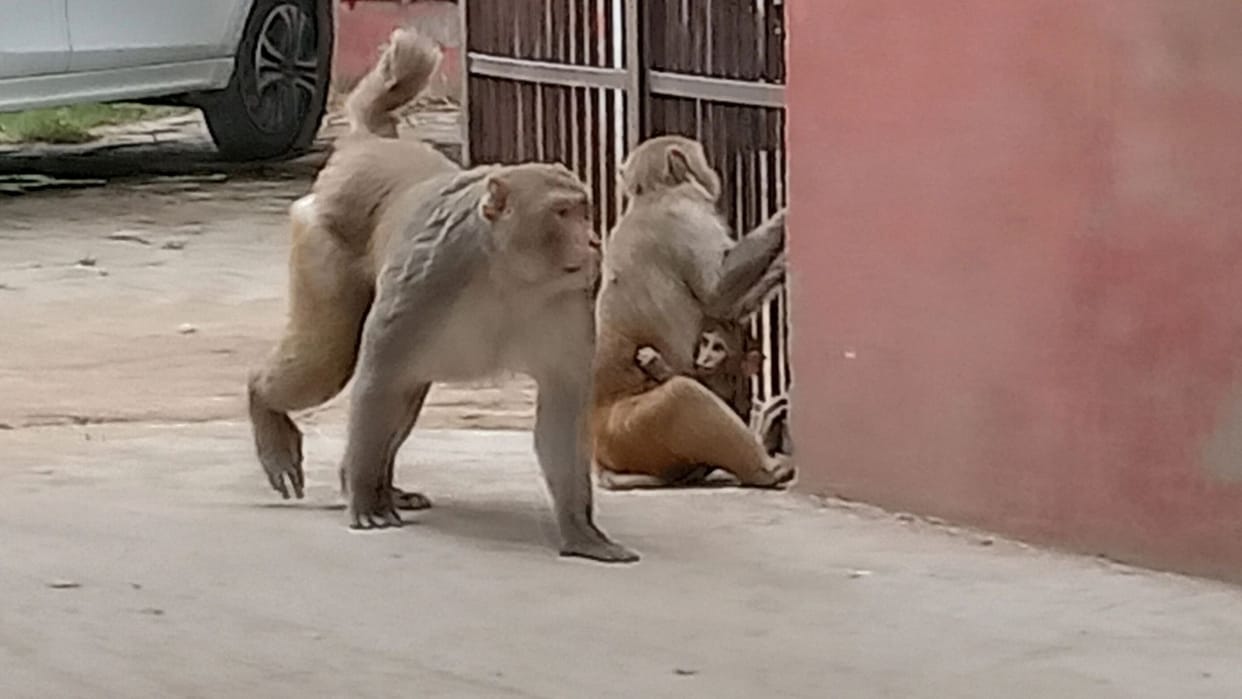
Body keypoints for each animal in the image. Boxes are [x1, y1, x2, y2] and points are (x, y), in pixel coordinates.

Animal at [247, 27, 637, 563]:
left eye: (584, 208)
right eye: (562, 213)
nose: (594, 240)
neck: (507, 273)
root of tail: (370, 144)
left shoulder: (571, 299)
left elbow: (562, 406)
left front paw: (581, 532)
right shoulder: (427, 277)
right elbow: (376, 375)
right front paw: (363, 497)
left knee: (405, 392)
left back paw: (388, 489)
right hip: (321, 243)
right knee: (329, 364)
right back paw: (271, 410)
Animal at [591, 135, 794, 492]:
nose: (712, 172)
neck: (651, 195)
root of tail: (600, 457)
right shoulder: (684, 217)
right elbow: (718, 295)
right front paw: (785, 217)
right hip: (629, 434)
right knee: (682, 395)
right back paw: (767, 467)